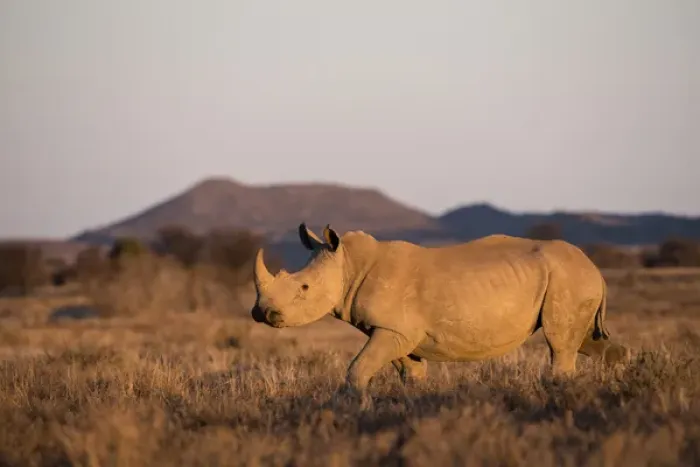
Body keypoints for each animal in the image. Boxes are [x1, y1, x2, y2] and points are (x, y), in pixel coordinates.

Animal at [250, 223, 629, 392]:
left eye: (303, 288)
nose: (261, 314)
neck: (349, 266)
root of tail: (596, 268)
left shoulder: (394, 328)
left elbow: (357, 370)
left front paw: (354, 405)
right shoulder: (395, 330)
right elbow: (410, 372)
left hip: (568, 279)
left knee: (560, 341)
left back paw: (559, 391)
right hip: (573, 280)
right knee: (583, 339)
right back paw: (621, 383)